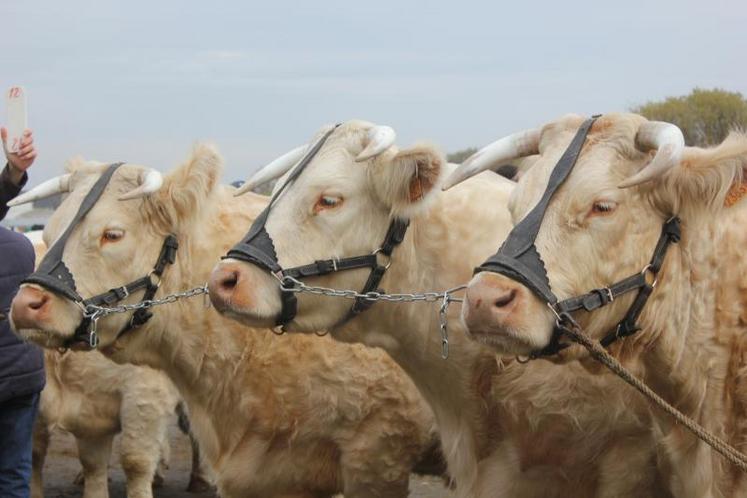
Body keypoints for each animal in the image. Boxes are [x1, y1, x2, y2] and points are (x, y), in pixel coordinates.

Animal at [8, 150, 442, 498]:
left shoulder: (377, 445)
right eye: (49, 231)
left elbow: (133, 460)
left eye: (112, 234)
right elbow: (81, 465)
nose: (26, 304)